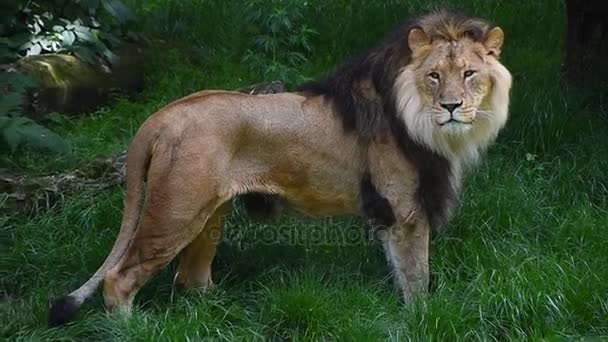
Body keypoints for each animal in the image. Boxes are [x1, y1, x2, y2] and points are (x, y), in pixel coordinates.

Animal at [50, 11, 510, 326]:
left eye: (470, 74)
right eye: (434, 76)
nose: (451, 107)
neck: (428, 126)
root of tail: (162, 115)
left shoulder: (397, 211)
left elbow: (401, 269)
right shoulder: (405, 207)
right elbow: (416, 275)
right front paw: (421, 318)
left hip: (208, 212)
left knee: (190, 278)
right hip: (177, 211)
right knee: (120, 277)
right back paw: (133, 326)